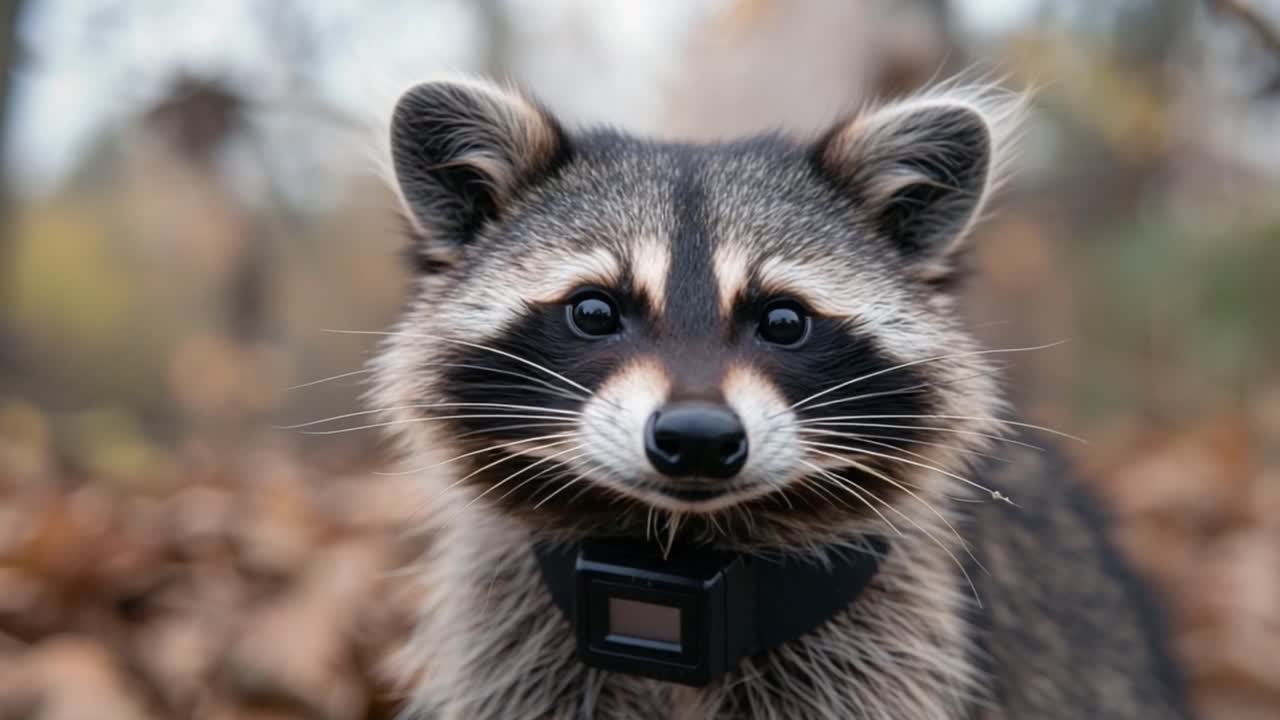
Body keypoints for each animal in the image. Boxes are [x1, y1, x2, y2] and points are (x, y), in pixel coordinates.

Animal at [369, 78, 1191, 719]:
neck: (680, 547)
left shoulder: (889, 637)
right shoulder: (514, 641)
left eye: (784, 321)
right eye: (595, 312)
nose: (698, 438)